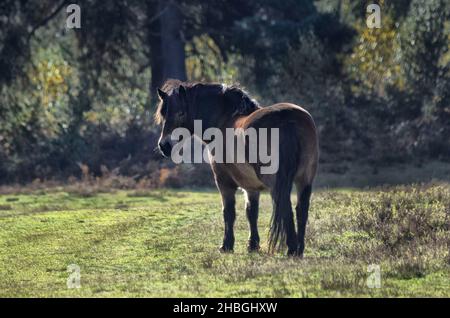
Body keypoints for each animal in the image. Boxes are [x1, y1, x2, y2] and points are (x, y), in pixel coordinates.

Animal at [156, 79, 318, 256]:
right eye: (164, 115)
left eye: (181, 113)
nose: (164, 146)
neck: (223, 120)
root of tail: (287, 119)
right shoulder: (251, 187)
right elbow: (251, 212)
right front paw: (252, 245)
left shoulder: (223, 182)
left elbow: (228, 212)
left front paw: (226, 245)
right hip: (304, 180)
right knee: (301, 209)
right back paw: (299, 249)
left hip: (277, 184)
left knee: (285, 208)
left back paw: (292, 249)